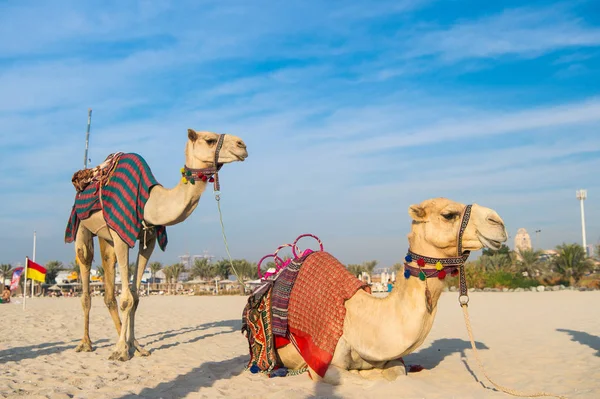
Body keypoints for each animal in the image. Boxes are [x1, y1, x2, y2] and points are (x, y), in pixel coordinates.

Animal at [67, 129, 248, 362]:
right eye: (210, 140)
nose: (242, 145)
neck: (150, 203)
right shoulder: (121, 235)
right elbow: (126, 298)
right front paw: (120, 351)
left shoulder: (150, 238)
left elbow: (135, 297)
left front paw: (133, 346)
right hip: (81, 225)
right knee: (85, 270)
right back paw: (86, 343)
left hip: (105, 236)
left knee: (108, 286)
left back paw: (130, 342)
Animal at [276, 198, 506, 386]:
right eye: (449, 214)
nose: (498, 222)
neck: (357, 318)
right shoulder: (322, 364)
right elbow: (357, 378)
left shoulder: (392, 359)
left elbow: (397, 375)